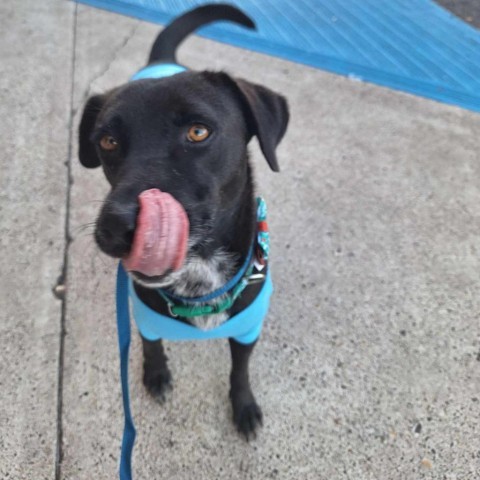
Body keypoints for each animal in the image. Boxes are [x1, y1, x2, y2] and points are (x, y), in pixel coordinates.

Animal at [79, 3, 288, 438]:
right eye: (107, 141)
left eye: (198, 132)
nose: (115, 228)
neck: (199, 278)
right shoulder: (144, 319)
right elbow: (152, 345)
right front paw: (155, 374)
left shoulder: (248, 330)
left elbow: (240, 370)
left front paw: (243, 405)